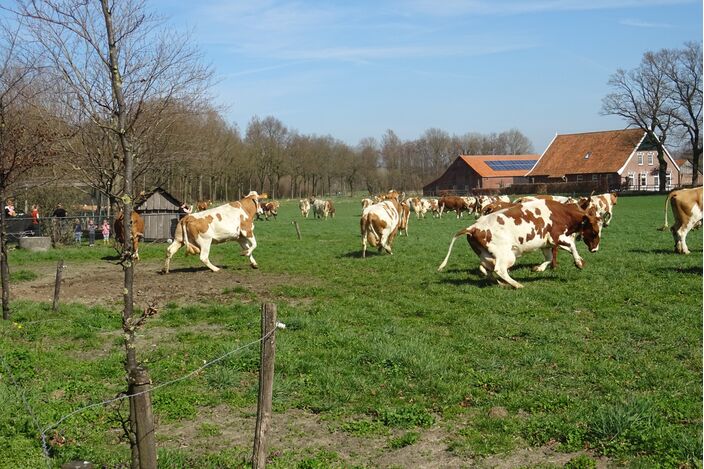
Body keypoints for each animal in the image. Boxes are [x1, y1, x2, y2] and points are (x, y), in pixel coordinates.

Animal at [438, 198, 604, 288]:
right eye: (595, 232)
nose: (595, 249)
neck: (561, 213)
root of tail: (473, 227)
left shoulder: (546, 243)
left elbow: (549, 258)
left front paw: (538, 268)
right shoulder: (558, 237)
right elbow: (572, 246)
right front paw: (579, 262)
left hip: (486, 255)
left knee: (488, 269)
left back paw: (502, 283)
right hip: (507, 255)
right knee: (499, 270)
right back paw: (516, 284)